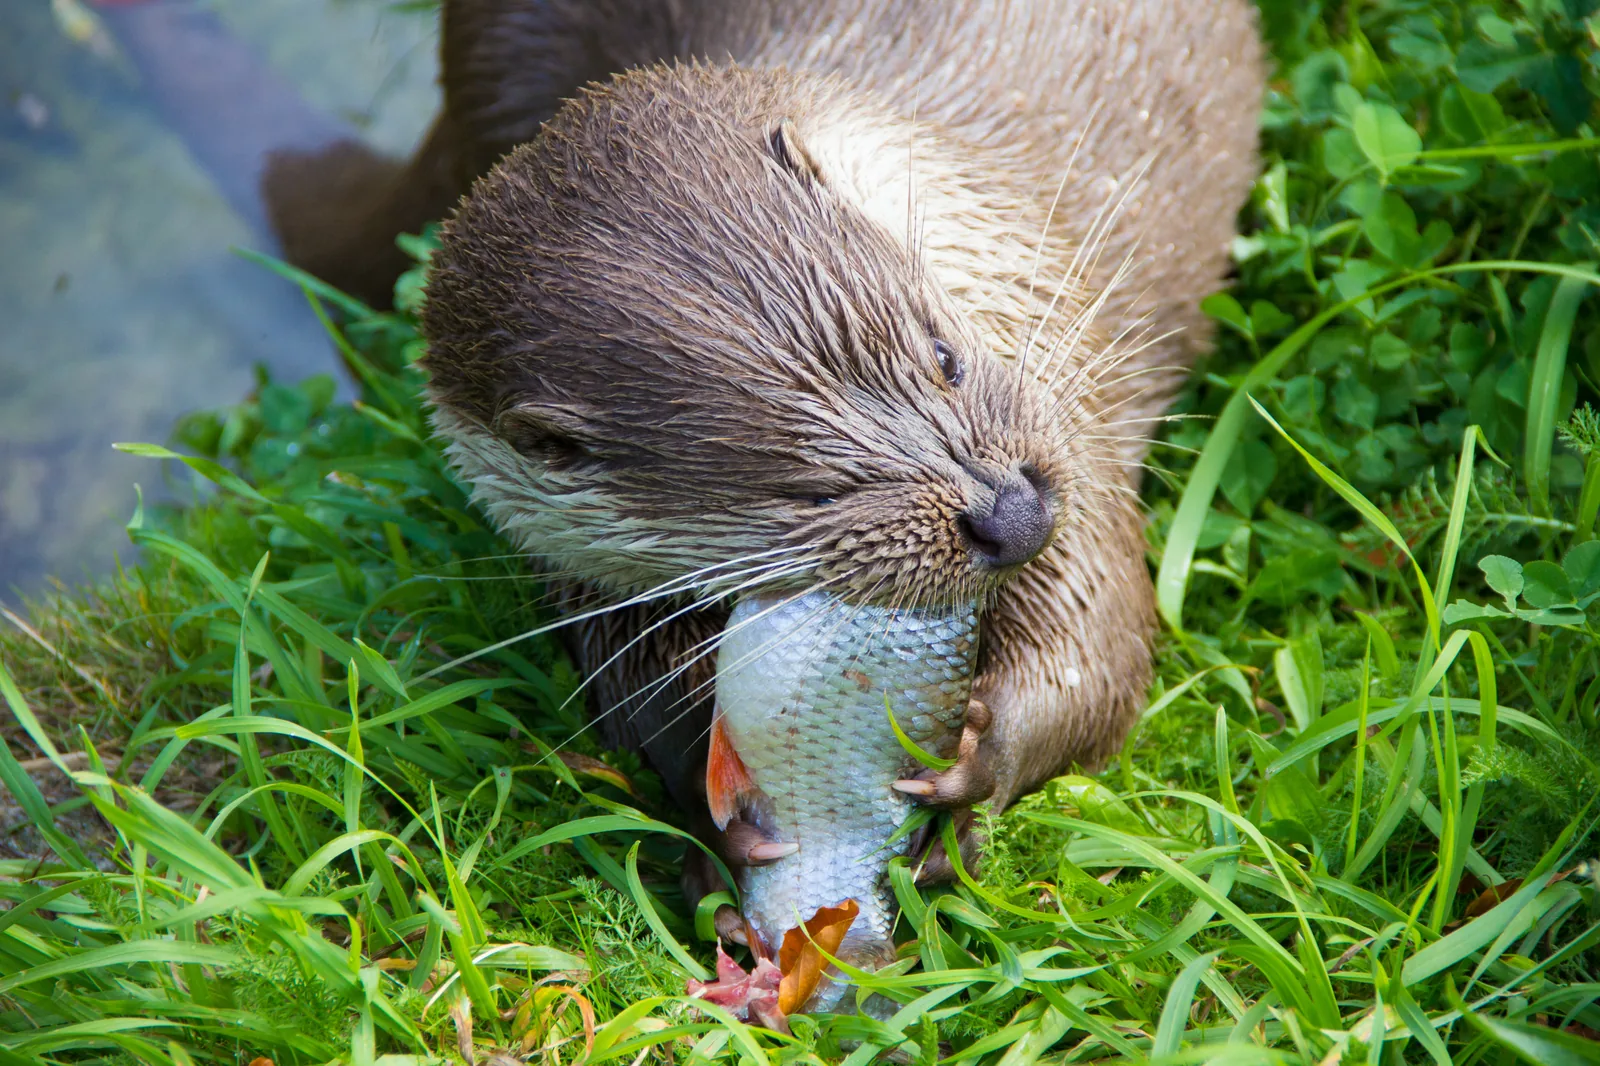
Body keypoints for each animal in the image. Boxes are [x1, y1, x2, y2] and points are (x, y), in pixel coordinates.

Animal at [266, 0, 1263, 873]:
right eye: (807, 492)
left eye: (944, 356)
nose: (1012, 516)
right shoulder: (586, 570)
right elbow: (635, 700)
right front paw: (717, 838)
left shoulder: (1063, 397)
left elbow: (1095, 642)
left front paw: (978, 768)